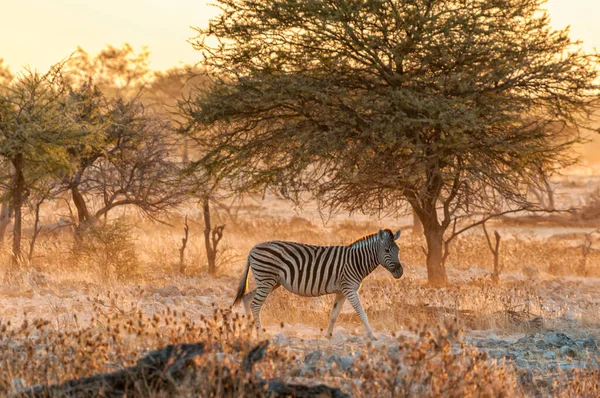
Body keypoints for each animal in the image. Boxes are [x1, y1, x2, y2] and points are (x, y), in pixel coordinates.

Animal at [234, 227, 404, 338]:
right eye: (387, 250)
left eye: (398, 250)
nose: (400, 272)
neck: (356, 261)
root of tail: (252, 249)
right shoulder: (349, 288)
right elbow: (361, 312)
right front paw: (371, 335)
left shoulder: (341, 291)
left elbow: (334, 314)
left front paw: (328, 335)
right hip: (266, 279)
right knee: (255, 305)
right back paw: (260, 334)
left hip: (271, 281)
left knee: (247, 299)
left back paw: (249, 331)